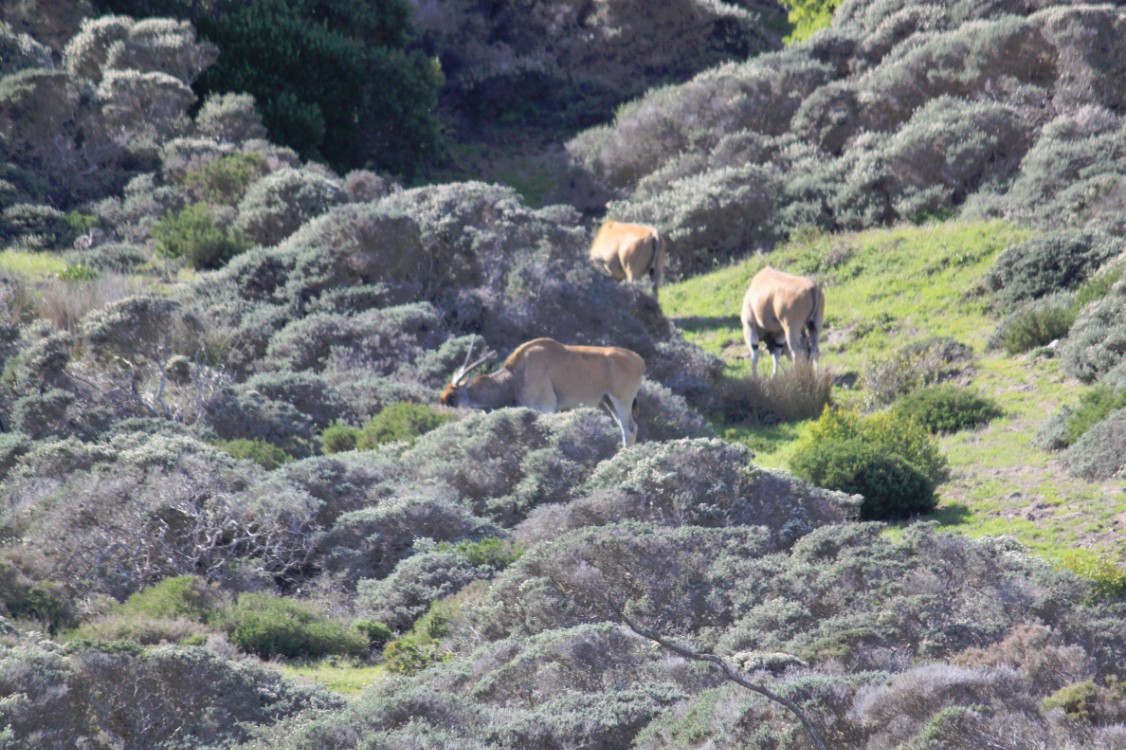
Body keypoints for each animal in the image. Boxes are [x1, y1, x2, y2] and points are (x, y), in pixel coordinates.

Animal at [441, 333, 648, 443]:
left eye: (453, 395)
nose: (442, 401)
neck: (515, 377)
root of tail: (639, 359)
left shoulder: (546, 408)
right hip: (607, 402)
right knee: (626, 428)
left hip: (621, 401)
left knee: (630, 429)